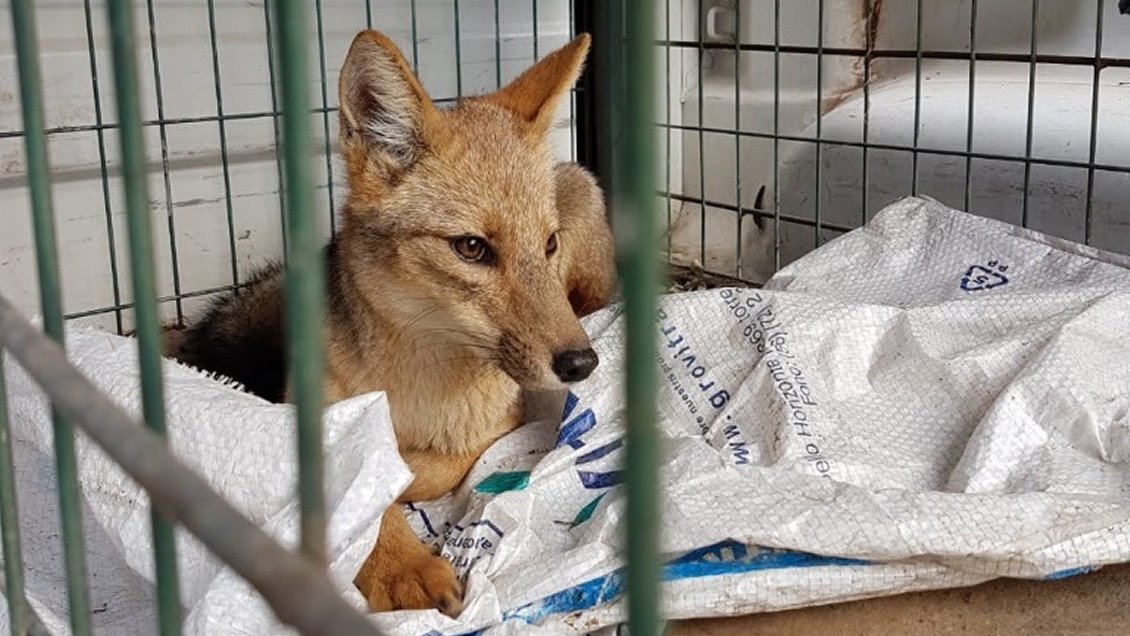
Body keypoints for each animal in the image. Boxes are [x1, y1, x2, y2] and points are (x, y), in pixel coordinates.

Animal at [165, 30, 615, 617]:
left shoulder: (500, 427)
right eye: (472, 248)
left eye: (548, 244)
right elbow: (363, 487)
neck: (416, 390)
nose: (582, 363)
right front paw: (401, 563)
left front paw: (401, 490)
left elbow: (431, 466)